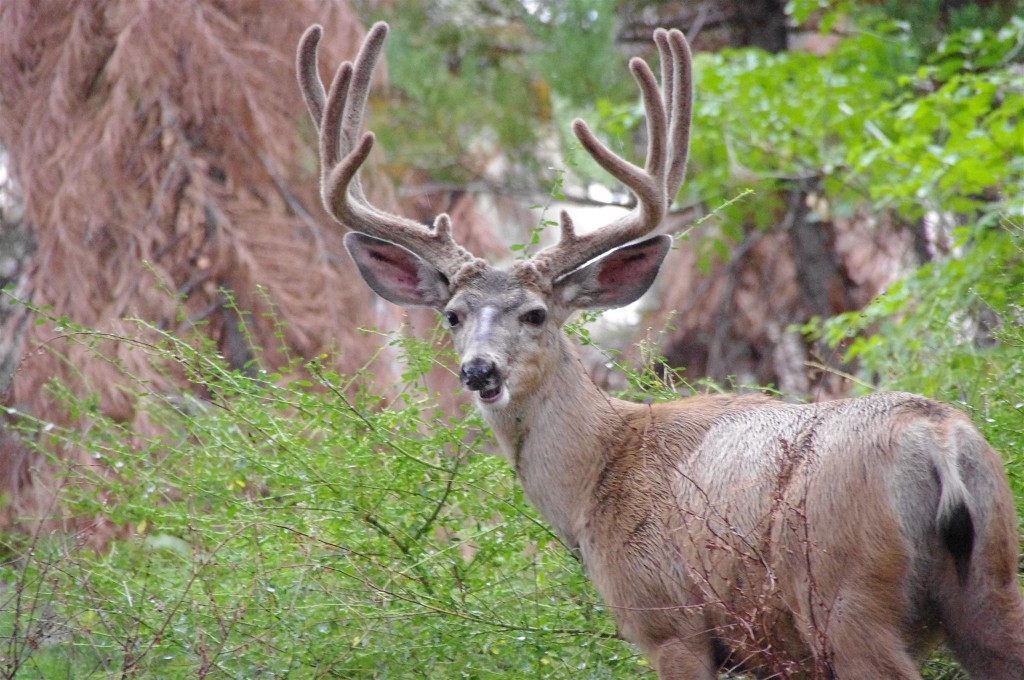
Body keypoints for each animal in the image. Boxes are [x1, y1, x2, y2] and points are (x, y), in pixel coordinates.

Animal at [294, 21, 1024, 680]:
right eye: (452, 316)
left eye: (536, 314)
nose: (480, 370)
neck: (595, 478)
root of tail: (940, 439)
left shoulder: (668, 621)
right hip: (991, 584)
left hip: (846, 598)